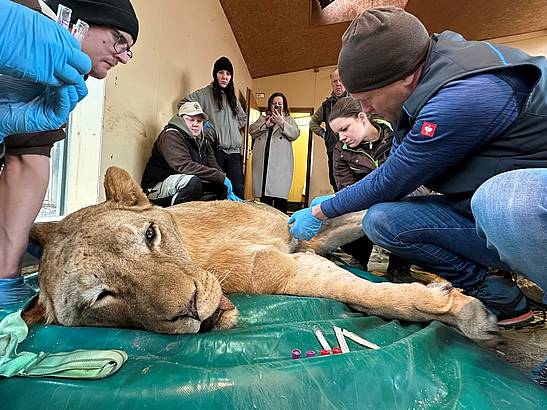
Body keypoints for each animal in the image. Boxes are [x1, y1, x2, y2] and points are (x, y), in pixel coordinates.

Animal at [24, 165, 500, 344]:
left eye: (150, 235)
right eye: (100, 298)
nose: (190, 308)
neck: (200, 252)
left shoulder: (298, 241)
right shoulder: (291, 266)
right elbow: (362, 293)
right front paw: (457, 309)